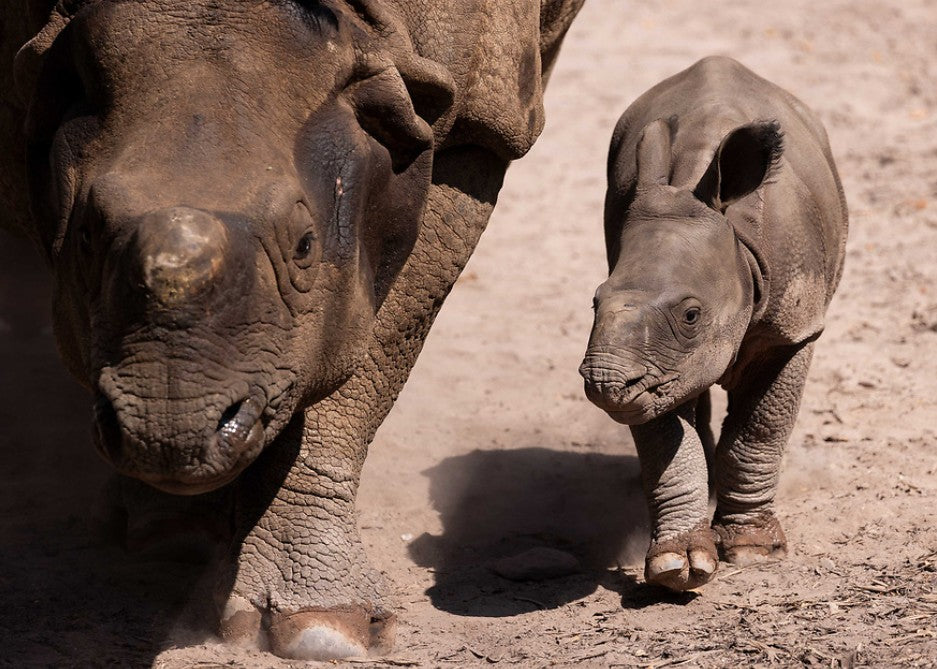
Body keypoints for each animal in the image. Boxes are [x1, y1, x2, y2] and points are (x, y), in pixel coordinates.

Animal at [0, 0, 584, 659]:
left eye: (306, 246)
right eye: (85, 238)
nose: (166, 434)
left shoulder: (475, 127)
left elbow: (364, 359)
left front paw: (322, 627)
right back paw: (168, 531)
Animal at [580, 56, 848, 592]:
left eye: (691, 314)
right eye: (595, 302)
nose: (602, 382)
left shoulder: (794, 329)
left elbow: (759, 431)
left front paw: (752, 550)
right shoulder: (655, 368)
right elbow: (666, 441)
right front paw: (677, 566)